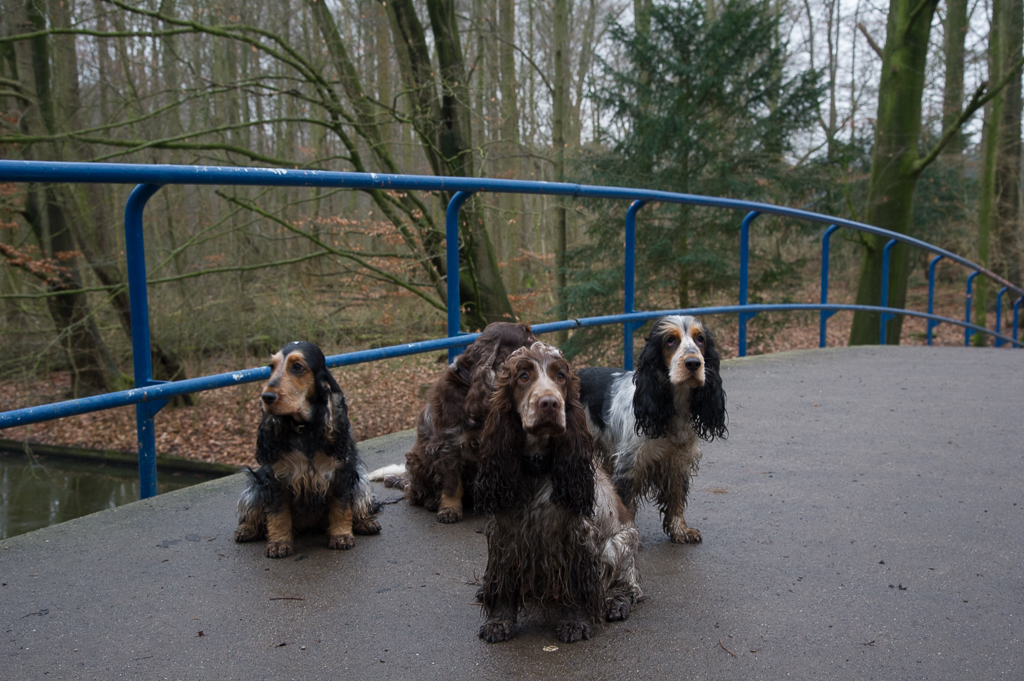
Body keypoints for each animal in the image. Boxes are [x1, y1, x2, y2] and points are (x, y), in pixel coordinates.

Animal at [234, 341, 381, 558]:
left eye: (297, 367)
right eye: (271, 367)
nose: (266, 397)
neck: (305, 429)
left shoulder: (342, 472)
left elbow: (341, 507)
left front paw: (341, 536)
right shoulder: (274, 478)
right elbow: (277, 513)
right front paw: (278, 543)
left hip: (360, 477)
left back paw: (366, 522)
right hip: (254, 484)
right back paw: (246, 530)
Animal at [371, 322, 537, 523]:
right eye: (528, 337)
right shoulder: (450, 445)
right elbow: (451, 484)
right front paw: (449, 509)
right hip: (417, 460)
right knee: (415, 494)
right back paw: (431, 501)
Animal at [476, 341, 643, 644]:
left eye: (560, 376)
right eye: (523, 376)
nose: (550, 403)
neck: (535, 468)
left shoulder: (576, 536)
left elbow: (576, 585)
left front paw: (575, 623)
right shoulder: (503, 532)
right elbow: (503, 580)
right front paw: (498, 621)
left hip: (619, 544)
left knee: (628, 586)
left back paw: (615, 602)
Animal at [578, 315, 727, 544]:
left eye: (700, 339)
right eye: (670, 341)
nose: (694, 363)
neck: (673, 407)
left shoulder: (677, 461)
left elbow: (676, 497)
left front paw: (680, 530)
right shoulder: (630, 464)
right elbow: (626, 503)